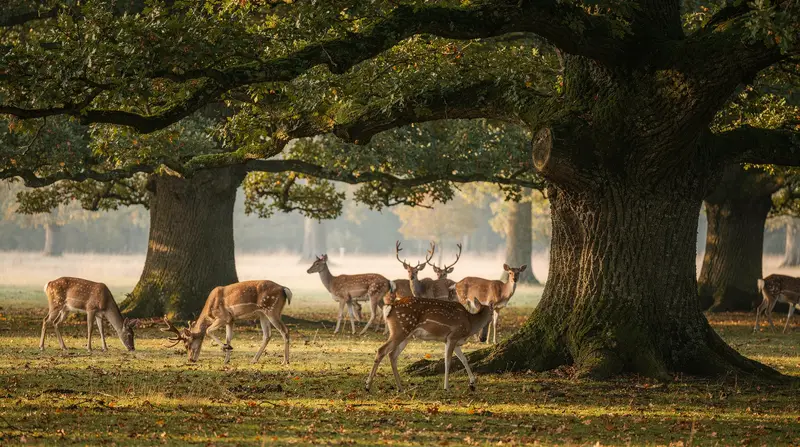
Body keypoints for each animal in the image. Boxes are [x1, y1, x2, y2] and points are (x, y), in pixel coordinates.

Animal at [161, 280, 291, 365]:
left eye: (187, 345)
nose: (190, 359)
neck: (210, 311)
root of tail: (284, 289)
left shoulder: (223, 317)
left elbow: (208, 330)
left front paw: (225, 347)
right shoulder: (230, 320)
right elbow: (228, 338)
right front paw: (226, 357)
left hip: (272, 310)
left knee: (285, 331)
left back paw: (285, 361)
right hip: (262, 314)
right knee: (267, 335)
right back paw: (254, 359)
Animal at [365, 292, 494, 392]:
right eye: (492, 314)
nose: (482, 338)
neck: (470, 324)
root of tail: (390, 307)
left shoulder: (454, 341)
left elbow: (464, 359)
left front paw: (472, 383)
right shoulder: (452, 336)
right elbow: (448, 361)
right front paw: (446, 387)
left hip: (406, 335)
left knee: (392, 355)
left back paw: (400, 387)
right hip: (401, 330)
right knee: (382, 350)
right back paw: (368, 385)